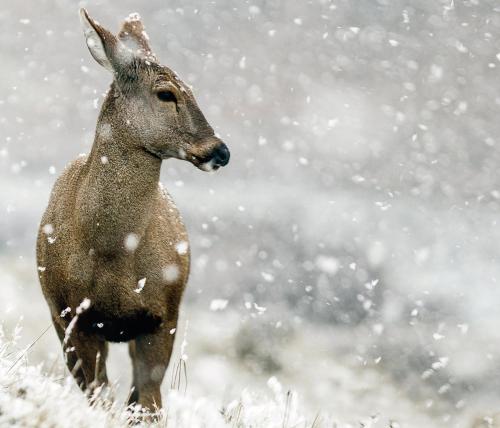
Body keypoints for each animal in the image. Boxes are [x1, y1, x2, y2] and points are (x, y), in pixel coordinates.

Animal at [36, 9, 230, 412]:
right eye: (166, 93)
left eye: (192, 89)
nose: (220, 151)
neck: (111, 251)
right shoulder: (71, 315)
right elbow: (100, 395)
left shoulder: (162, 316)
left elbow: (149, 402)